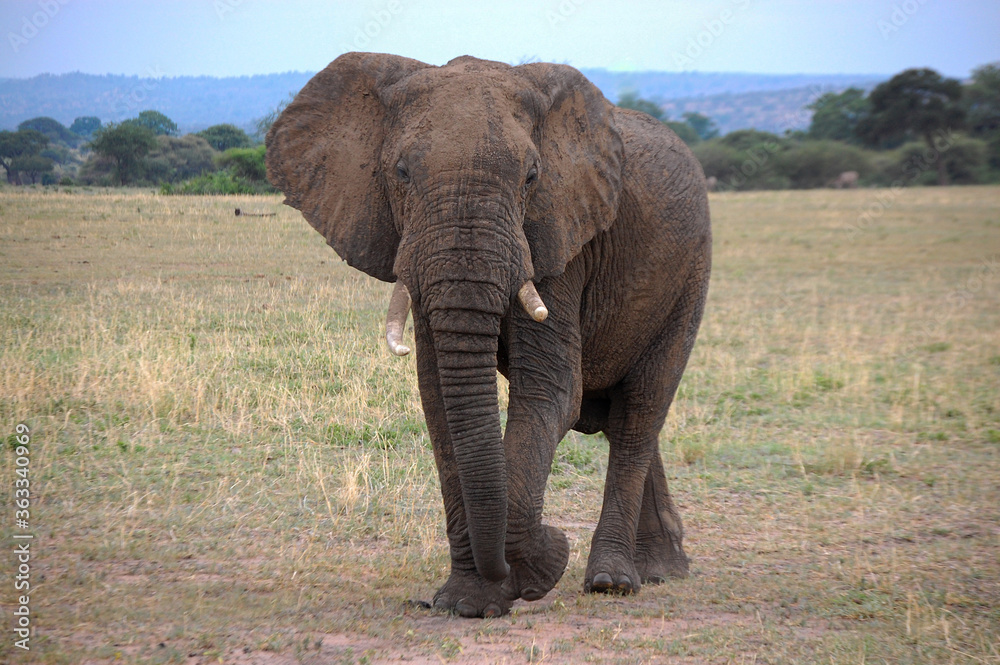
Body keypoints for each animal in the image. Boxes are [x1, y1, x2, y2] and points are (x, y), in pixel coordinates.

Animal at [266, 52, 711, 618]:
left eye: (532, 177)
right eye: (401, 172)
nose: (554, 536)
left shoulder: (557, 236)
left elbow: (550, 391)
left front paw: (532, 571)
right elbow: (438, 399)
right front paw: (465, 600)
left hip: (690, 274)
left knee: (640, 410)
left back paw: (613, 581)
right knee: (625, 419)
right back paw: (660, 569)